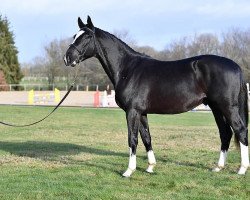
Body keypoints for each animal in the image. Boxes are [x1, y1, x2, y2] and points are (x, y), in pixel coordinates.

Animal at [64, 16, 248, 177]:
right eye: (74, 36)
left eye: (87, 36)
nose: (67, 57)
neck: (127, 69)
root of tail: (236, 66)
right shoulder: (141, 112)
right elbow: (147, 138)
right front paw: (150, 167)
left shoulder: (132, 111)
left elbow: (132, 139)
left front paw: (129, 171)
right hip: (216, 108)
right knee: (225, 133)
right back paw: (218, 167)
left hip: (227, 107)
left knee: (240, 130)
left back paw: (242, 169)